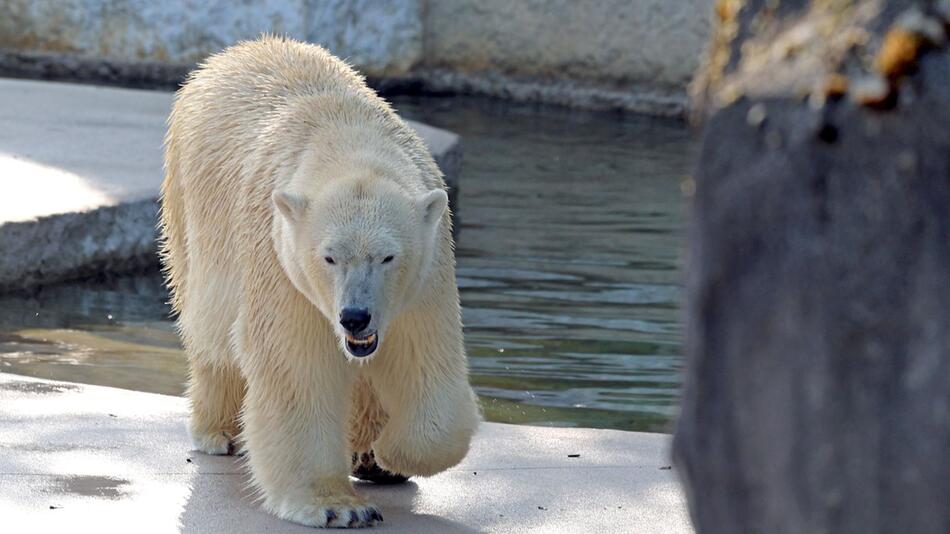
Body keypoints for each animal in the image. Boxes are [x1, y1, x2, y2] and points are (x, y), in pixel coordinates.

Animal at [161, 37, 484, 532]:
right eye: (329, 257)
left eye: (388, 256)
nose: (355, 317)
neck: (347, 133)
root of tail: (237, 50)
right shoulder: (281, 258)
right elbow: (297, 365)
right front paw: (338, 506)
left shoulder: (427, 272)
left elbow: (425, 359)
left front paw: (390, 453)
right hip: (190, 203)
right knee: (211, 330)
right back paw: (219, 430)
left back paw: (369, 455)